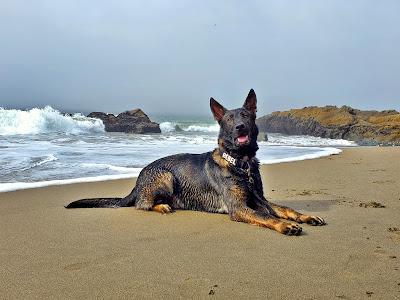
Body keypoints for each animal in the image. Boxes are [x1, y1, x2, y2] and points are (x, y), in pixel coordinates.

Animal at [66, 90, 324, 236]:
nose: (240, 127)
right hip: (166, 177)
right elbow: (268, 216)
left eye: (246, 116)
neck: (240, 163)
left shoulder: (260, 199)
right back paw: (162, 206)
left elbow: (285, 209)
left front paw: (305, 216)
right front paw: (285, 225)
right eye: (229, 119)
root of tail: (138, 181)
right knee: (141, 204)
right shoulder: (240, 207)